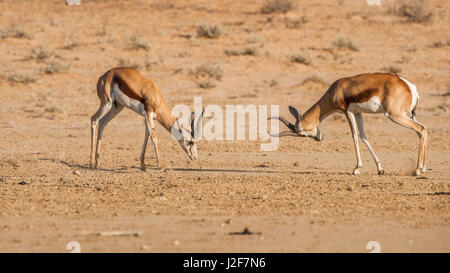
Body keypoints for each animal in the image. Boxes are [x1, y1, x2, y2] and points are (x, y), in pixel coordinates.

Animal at [268, 72, 428, 174]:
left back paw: (417, 170)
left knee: (420, 129)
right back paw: (423, 168)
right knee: (423, 130)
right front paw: (380, 169)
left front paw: (356, 168)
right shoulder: (358, 113)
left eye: (302, 135)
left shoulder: (348, 112)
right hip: (409, 115)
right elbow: (364, 137)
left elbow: (355, 137)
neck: (336, 89)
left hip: (395, 115)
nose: (319, 138)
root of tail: (410, 87)